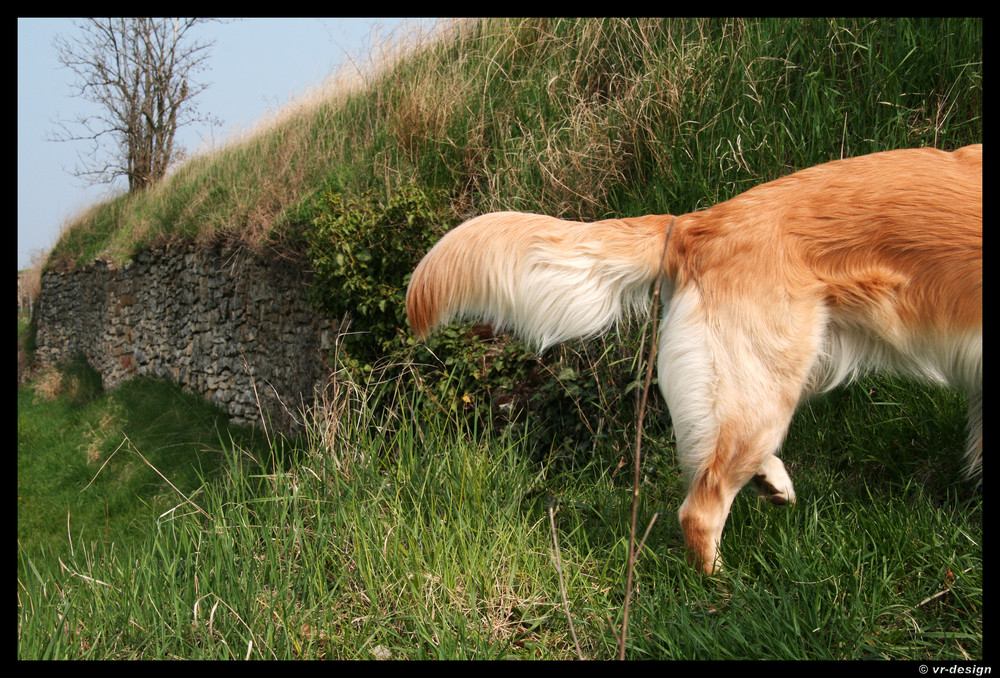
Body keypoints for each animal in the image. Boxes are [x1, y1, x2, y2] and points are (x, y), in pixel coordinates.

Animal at [402, 145, 980, 572]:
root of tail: (696, 222)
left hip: (764, 376)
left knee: (716, 456)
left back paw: (770, 483)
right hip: (767, 378)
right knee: (700, 510)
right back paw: (726, 592)